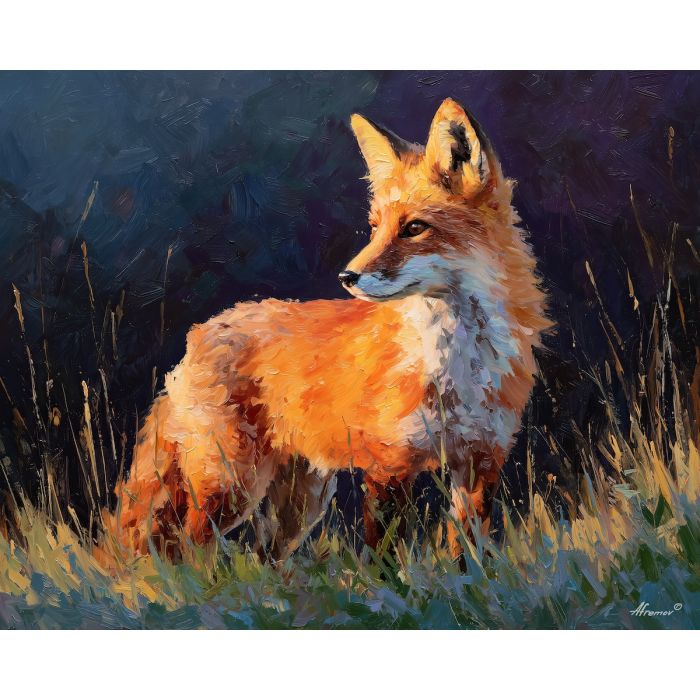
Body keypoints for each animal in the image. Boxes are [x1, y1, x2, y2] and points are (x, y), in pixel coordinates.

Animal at [102, 98, 550, 562]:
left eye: (414, 228)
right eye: (375, 227)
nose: (347, 277)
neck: (458, 367)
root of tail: (199, 333)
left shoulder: (481, 461)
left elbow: (469, 555)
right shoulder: (390, 464)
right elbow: (384, 556)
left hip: (300, 502)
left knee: (261, 558)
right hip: (231, 485)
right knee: (188, 551)